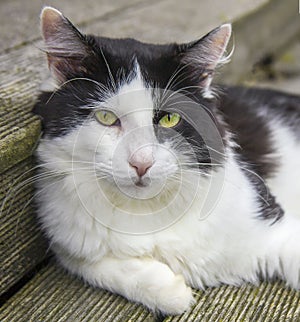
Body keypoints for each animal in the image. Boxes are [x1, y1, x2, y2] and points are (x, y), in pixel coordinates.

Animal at [33, 6, 300, 316]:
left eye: (169, 119)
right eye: (106, 118)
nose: (141, 163)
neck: (143, 211)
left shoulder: (277, 226)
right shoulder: (68, 245)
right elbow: (100, 267)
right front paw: (172, 291)